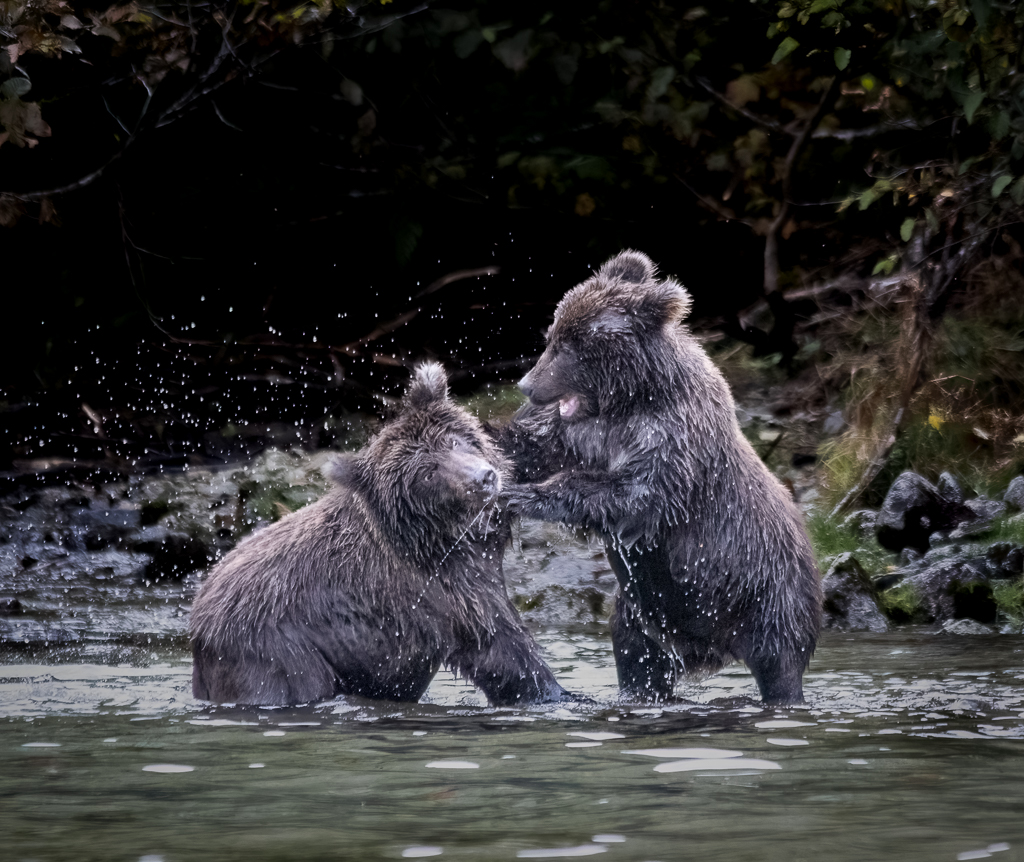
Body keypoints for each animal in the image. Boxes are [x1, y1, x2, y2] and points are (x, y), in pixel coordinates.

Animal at [190, 360, 569, 704]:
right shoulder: (445, 587)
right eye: (427, 474)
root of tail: (198, 625)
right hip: (274, 651)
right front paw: (558, 695)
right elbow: (501, 648)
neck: (442, 536)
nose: (483, 478)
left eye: (455, 442)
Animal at [503, 249, 823, 704]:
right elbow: (539, 447)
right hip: (640, 617)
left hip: (768, 597)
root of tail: (710, 650)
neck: (629, 399)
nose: (527, 385)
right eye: (552, 334)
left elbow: (638, 495)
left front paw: (526, 495)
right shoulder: (585, 436)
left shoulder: (672, 437)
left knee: (779, 665)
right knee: (637, 658)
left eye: (569, 345)